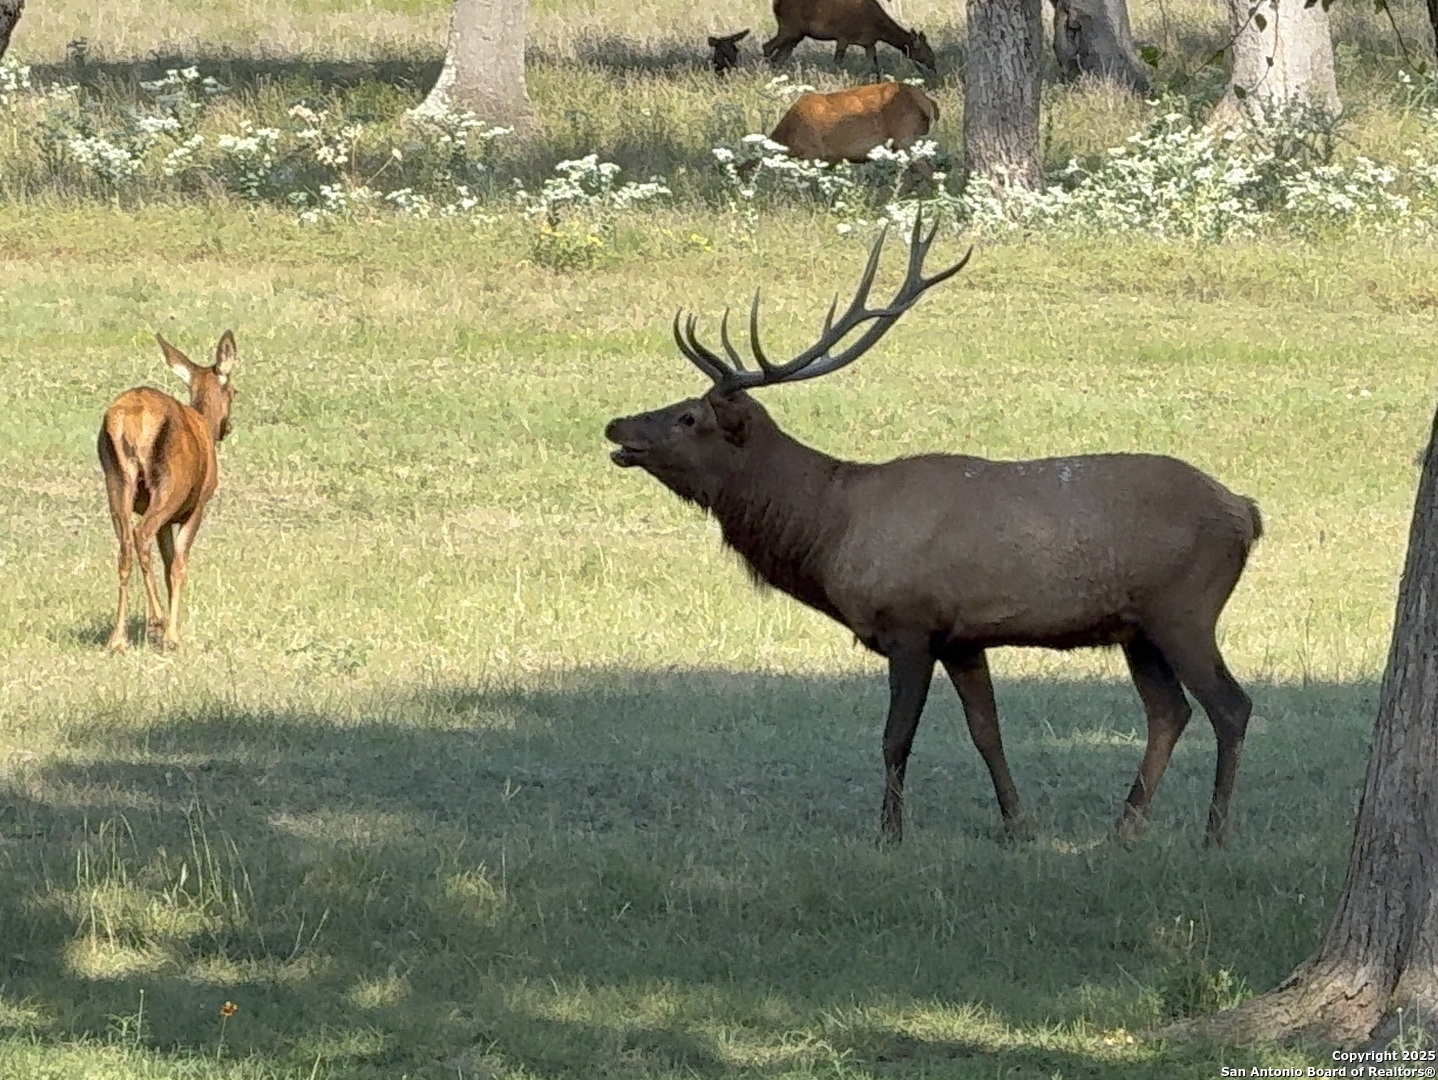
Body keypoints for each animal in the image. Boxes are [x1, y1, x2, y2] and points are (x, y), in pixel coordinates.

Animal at [98, 330, 239, 653]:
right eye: (235, 391)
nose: (226, 428)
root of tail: (132, 418)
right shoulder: (195, 507)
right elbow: (178, 565)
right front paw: (173, 635)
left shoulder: (168, 520)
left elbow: (166, 564)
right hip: (169, 486)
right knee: (141, 534)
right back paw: (158, 620)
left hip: (117, 480)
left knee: (125, 546)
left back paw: (118, 637)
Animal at [605, 211, 1263, 848]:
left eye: (689, 417)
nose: (615, 425)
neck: (831, 530)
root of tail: (1247, 512)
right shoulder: (962, 639)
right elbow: (986, 732)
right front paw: (1018, 827)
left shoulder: (911, 625)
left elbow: (896, 737)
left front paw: (890, 833)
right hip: (1136, 628)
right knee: (1168, 711)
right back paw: (1122, 829)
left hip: (1184, 610)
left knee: (1230, 705)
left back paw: (1215, 832)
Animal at [763, 0, 936, 74]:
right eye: (927, 51)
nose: (934, 66)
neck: (878, 28)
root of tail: (775, 4)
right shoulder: (843, 36)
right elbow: (837, 62)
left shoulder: (869, 43)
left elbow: (874, 66)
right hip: (790, 28)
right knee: (767, 47)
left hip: (796, 35)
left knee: (779, 57)